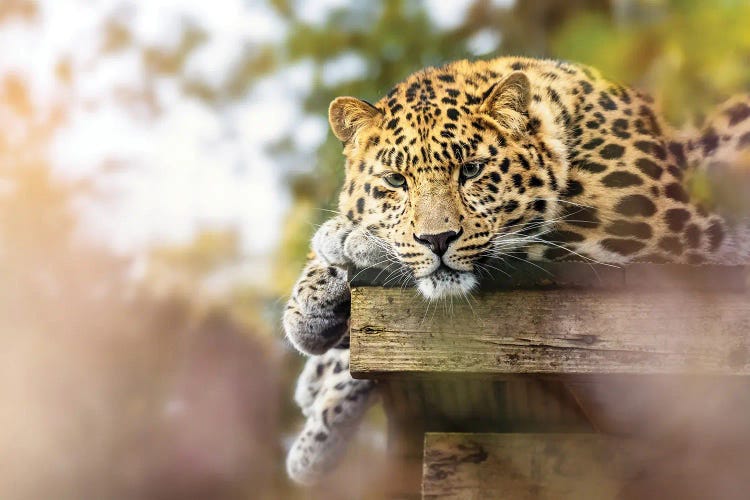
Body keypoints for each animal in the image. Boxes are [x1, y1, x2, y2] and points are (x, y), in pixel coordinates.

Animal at [284, 55, 750, 484]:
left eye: (471, 169)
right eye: (396, 180)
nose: (437, 240)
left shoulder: (645, 228)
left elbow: (524, 236)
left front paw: (348, 238)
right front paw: (310, 311)